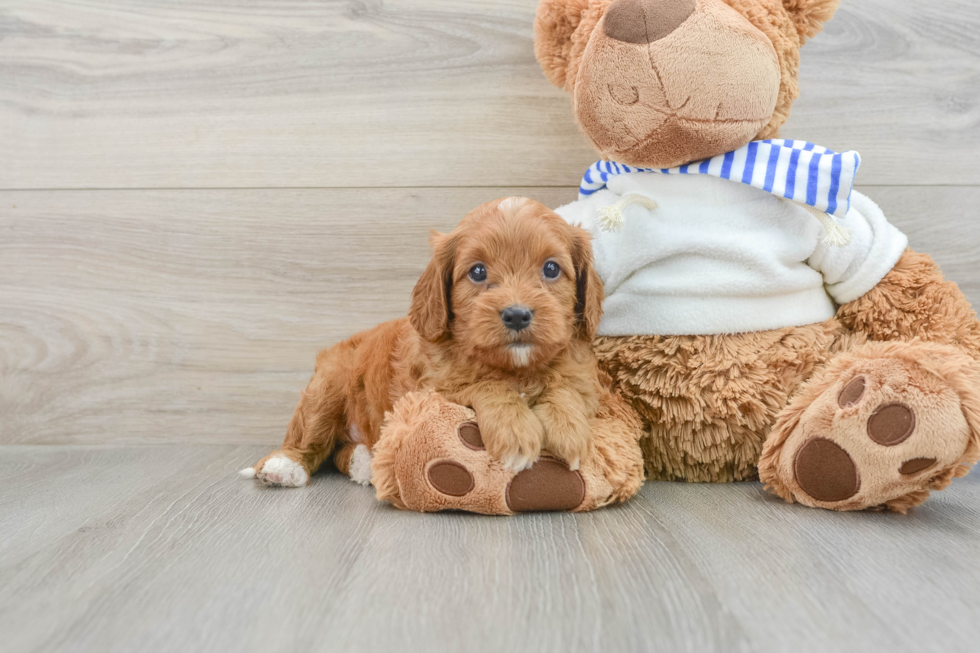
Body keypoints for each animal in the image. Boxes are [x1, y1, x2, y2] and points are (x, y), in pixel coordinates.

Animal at [241, 196, 600, 486]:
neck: (517, 369)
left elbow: (565, 388)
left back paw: (364, 462)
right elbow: (485, 384)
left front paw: (568, 429)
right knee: (308, 438)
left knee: (341, 451)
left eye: (551, 268)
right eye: (478, 272)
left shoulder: (582, 380)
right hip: (327, 385)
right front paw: (515, 431)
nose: (516, 315)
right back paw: (284, 466)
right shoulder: (434, 388)